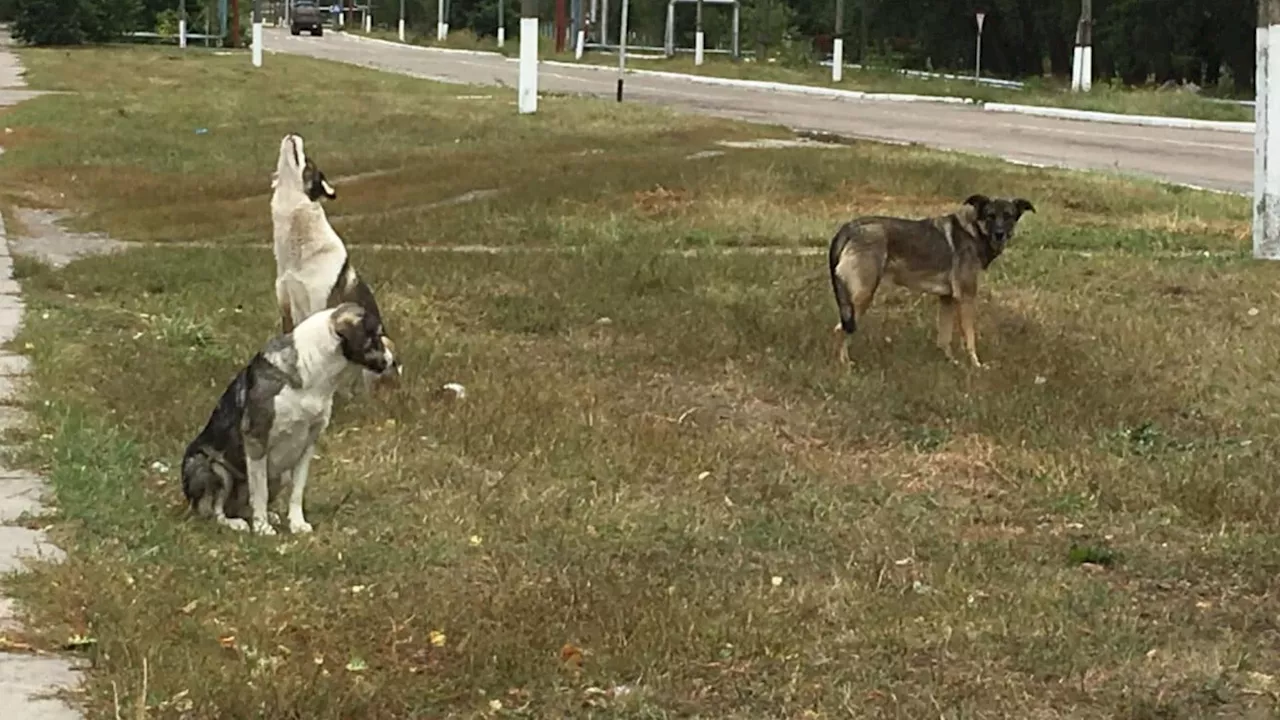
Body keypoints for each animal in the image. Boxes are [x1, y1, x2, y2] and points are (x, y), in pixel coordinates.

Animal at [181, 298, 394, 532]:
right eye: (376, 336)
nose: (392, 361)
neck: (316, 372)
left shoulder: (308, 443)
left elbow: (297, 490)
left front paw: (297, 524)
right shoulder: (256, 439)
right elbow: (260, 492)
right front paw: (262, 528)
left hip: (279, 475)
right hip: (213, 468)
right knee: (213, 510)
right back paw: (236, 523)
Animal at [824, 193, 1034, 366]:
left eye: (1008, 216)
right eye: (990, 216)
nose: (999, 234)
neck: (974, 231)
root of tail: (849, 228)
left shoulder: (947, 299)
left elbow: (944, 338)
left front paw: (950, 362)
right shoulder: (966, 298)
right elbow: (970, 338)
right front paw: (975, 365)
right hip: (863, 296)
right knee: (840, 330)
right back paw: (844, 365)